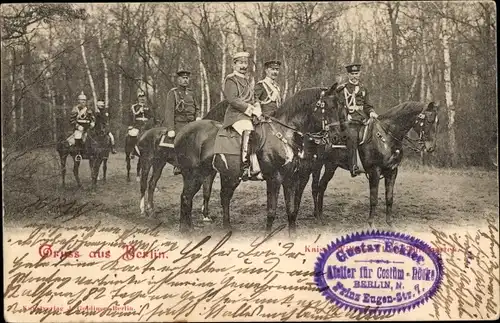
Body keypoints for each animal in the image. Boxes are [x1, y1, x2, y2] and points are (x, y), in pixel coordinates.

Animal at [175, 83, 344, 235]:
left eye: (339, 107)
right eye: (328, 106)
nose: (337, 137)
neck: (285, 133)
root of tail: (183, 131)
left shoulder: (290, 179)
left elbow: (291, 211)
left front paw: (293, 237)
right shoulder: (274, 179)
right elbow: (271, 211)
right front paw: (267, 237)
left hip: (223, 175)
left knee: (218, 198)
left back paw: (219, 228)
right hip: (194, 175)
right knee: (186, 198)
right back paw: (185, 231)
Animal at [306, 101, 440, 228]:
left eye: (437, 123)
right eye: (428, 121)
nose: (431, 148)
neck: (386, 137)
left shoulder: (392, 171)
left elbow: (389, 198)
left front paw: (390, 224)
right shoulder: (374, 171)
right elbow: (373, 199)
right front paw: (371, 224)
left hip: (331, 166)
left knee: (322, 186)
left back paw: (320, 216)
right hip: (318, 164)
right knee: (315, 187)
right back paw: (317, 216)